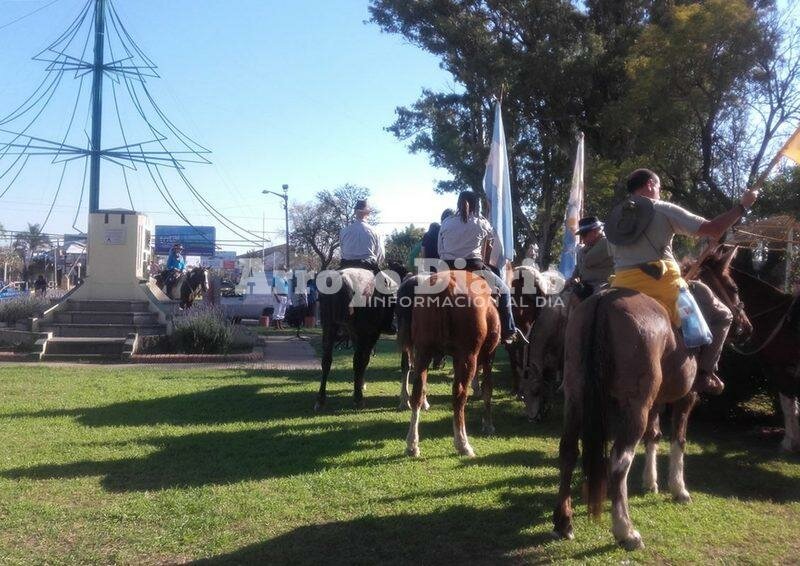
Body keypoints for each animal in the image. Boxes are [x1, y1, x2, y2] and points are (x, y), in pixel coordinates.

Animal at [398, 268, 500, 460]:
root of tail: (448, 285)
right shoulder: (489, 355)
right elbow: (488, 389)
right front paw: (489, 424)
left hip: (423, 351)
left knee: (417, 392)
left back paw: (412, 444)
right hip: (467, 357)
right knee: (459, 396)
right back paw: (463, 444)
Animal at [552, 248, 748, 552]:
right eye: (735, 288)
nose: (746, 327)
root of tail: (602, 303)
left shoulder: (656, 400)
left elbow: (653, 436)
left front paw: (650, 482)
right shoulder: (686, 397)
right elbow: (678, 439)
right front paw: (678, 488)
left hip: (576, 397)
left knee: (569, 450)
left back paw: (564, 521)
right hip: (635, 407)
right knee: (619, 460)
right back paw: (625, 530)